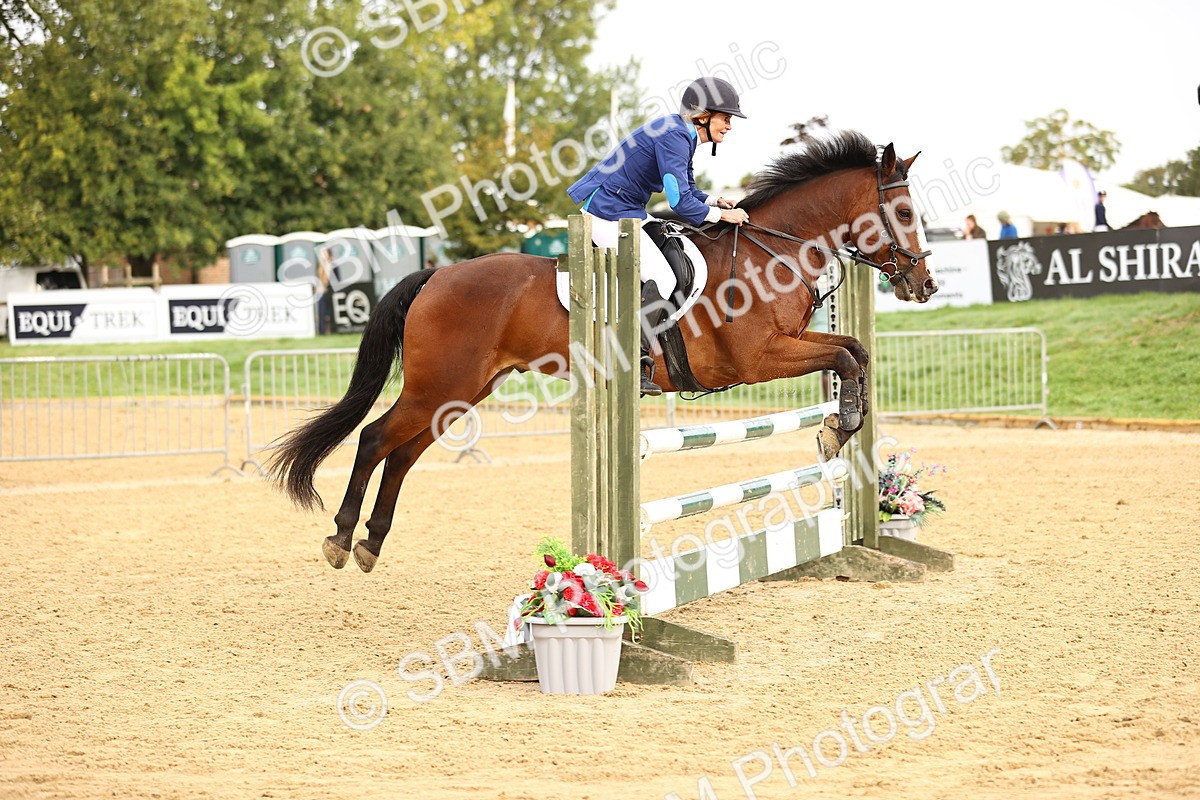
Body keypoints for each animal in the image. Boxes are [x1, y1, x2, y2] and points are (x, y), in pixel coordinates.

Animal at [269, 130, 939, 573]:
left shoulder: (789, 346)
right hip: (439, 385)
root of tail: (435, 274)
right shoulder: (757, 359)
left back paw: (371, 543)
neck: (771, 252)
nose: (925, 284)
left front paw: (839, 427)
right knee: (375, 439)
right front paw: (835, 431)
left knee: (404, 454)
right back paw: (341, 539)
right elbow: (846, 357)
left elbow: (853, 349)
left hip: (462, 391)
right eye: (904, 210)